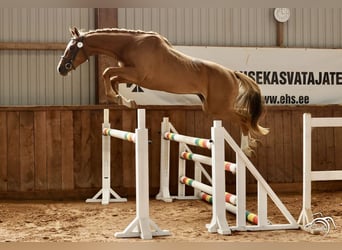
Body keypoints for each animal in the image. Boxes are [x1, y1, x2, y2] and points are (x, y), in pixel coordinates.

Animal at [57, 26, 268, 153]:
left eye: (71, 48)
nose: (61, 69)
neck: (130, 44)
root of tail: (232, 73)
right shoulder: (129, 74)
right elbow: (113, 78)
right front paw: (125, 101)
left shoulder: (137, 75)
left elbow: (107, 72)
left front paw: (118, 98)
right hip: (211, 107)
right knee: (244, 117)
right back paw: (250, 144)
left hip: (219, 108)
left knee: (244, 118)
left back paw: (246, 148)